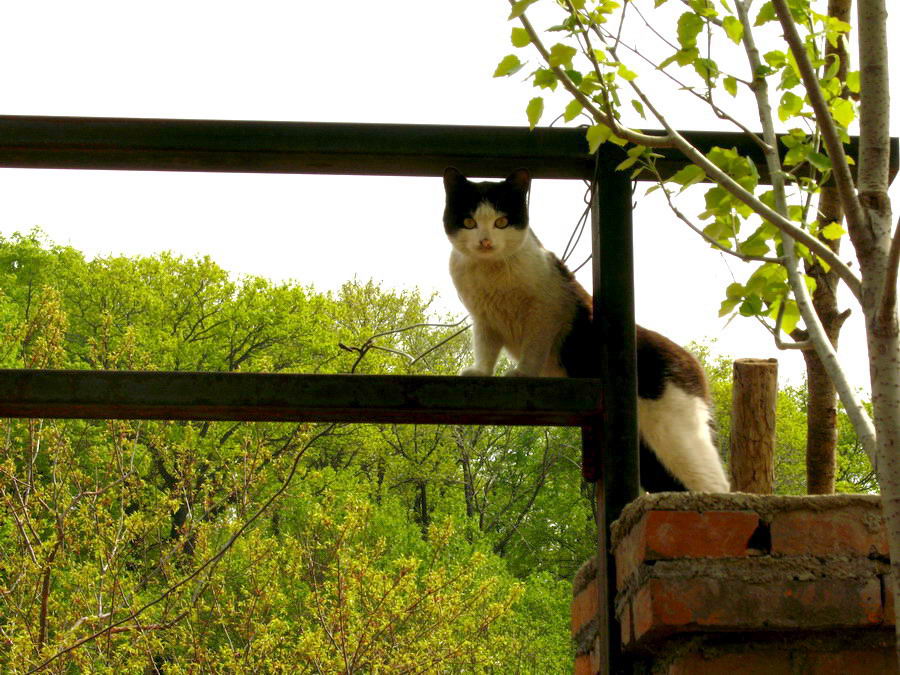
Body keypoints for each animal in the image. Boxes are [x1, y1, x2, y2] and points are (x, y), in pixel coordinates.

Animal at [442, 166, 732, 494]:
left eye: (501, 222)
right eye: (469, 222)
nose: (486, 242)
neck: (490, 272)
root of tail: (692, 362)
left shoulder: (546, 311)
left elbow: (534, 347)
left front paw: (523, 372)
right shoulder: (484, 318)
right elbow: (486, 348)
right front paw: (480, 371)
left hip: (675, 432)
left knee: (716, 483)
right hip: (649, 453)